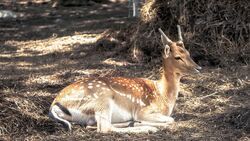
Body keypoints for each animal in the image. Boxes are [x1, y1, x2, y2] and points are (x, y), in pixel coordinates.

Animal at [48, 25, 201, 132]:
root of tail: (54, 104)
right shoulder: (143, 110)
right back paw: (148, 128)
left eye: (188, 53)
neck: (163, 96)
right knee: (104, 128)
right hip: (102, 99)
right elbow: (171, 119)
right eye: (177, 57)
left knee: (93, 125)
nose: (198, 68)